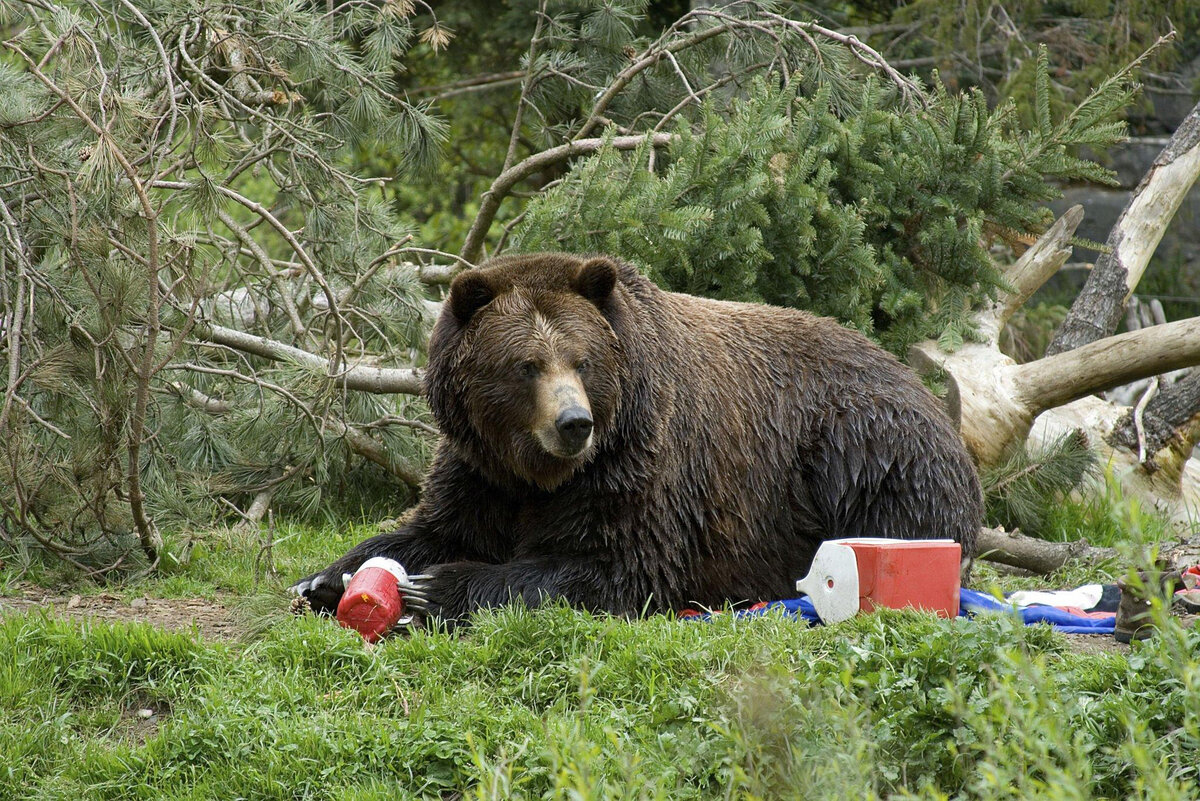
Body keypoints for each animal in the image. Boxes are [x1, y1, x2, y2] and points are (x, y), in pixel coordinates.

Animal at [292, 253, 984, 623]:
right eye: (526, 365)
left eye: (582, 359)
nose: (573, 423)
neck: (539, 472)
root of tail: (927, 396)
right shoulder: (479, 468)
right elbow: (433, 524)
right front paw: (325, 580)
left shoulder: (638, 464)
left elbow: (616, 565)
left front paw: (438, 587)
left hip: (862, 449)